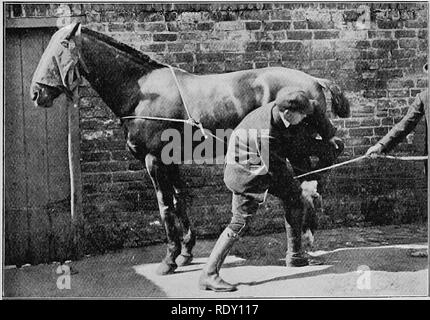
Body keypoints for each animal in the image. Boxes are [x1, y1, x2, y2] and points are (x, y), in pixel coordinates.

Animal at [31, 22, 350, 276]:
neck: (142, 93)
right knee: (314, 172)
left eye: (60, 47)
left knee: (322, 164)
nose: (36, 93)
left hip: (297, 145)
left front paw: (169, 260)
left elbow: (165, 207)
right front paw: (185, 253)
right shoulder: (170, 161)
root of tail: (315, 81)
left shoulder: (154, 160)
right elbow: (179, 201)